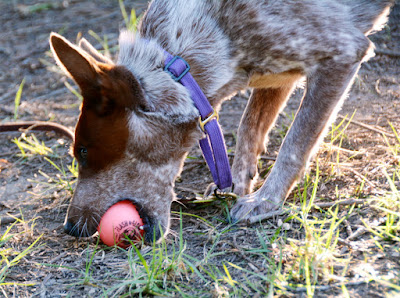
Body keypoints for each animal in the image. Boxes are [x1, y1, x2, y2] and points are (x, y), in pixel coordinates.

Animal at [50, 0, 394, 242]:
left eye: (82, 152)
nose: (69, 227)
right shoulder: (276, 73)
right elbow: (250, 125)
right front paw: (240, 185)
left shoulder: (341, 54)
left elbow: (294, 144)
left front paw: (266, 200)